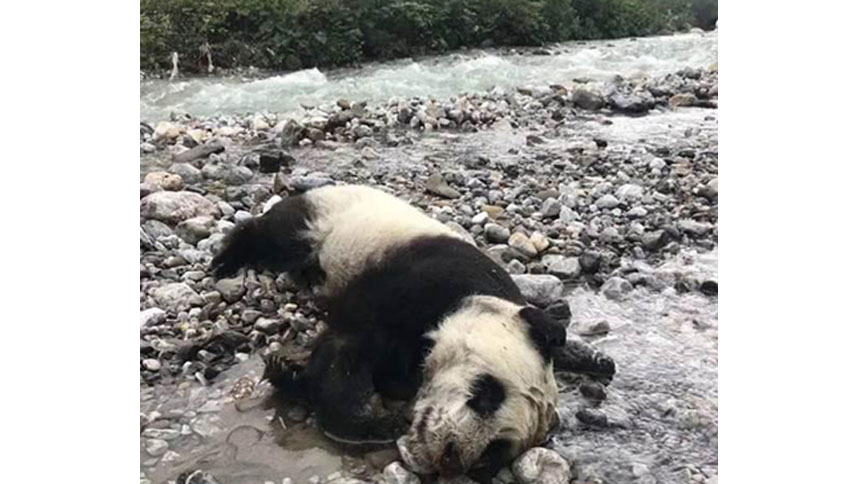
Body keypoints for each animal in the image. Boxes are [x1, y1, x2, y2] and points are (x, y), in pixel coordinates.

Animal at [210, 183, 572, 482]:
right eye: (486, 394)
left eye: (496, 448)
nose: (452, 456)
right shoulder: (418, 283)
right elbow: (344, 353)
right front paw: (374, 421)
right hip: (326, 219)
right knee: (275, 235)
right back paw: (227, 257)